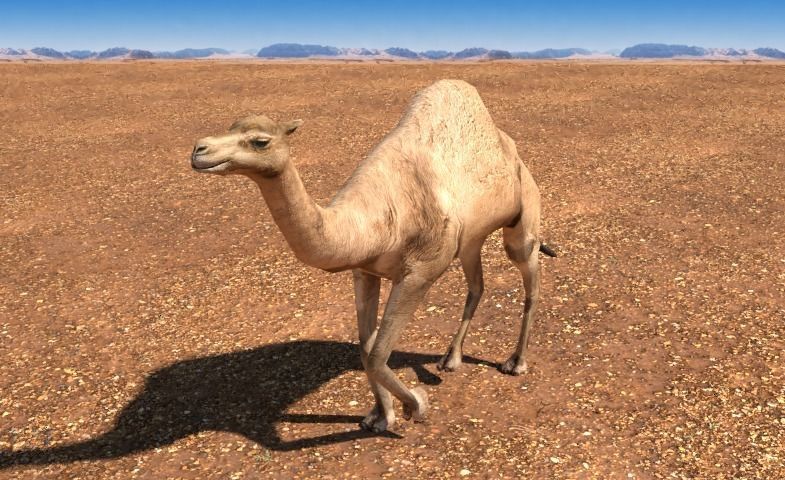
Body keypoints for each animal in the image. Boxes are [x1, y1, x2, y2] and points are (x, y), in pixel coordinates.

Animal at [190, 79, 556, 433]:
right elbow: (365, 350)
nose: (199, 149)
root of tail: (513, 152)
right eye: (230, 125)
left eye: (259, 141)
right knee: (476, 284)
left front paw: (416, 405)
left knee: (529, 275)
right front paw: (381, 416)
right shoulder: (365, 271)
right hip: (470, 239)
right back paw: (449, 360)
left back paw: (515, 362)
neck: (374, 219)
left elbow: (379, 353)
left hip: (524, 212)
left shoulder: (419, 273)